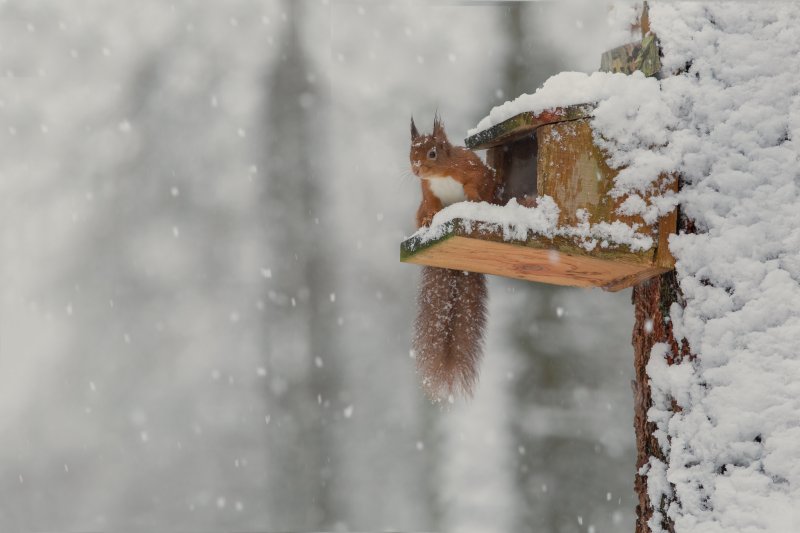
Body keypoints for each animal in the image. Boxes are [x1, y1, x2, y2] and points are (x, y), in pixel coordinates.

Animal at [410, 116, 496, 400]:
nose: (416, 170)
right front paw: (430, 221)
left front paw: (473, 199)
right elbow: (432, 207)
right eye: (410, 152)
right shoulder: (428, 194)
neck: (440, 175)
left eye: (432, 153)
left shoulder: (473, 169)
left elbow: (476, 183)